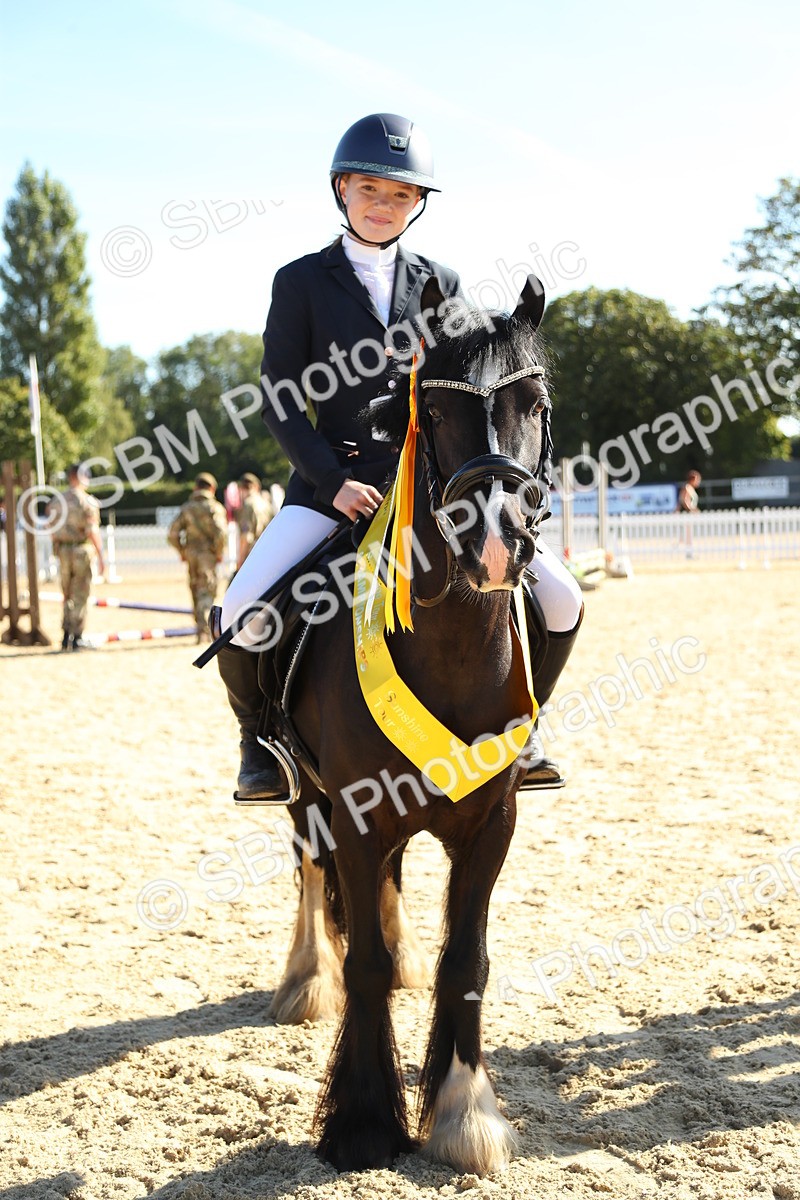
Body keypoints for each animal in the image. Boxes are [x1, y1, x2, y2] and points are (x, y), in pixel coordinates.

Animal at [266, 274, 552, 1175]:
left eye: (535, 403)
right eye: (437, 407)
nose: (495, 543)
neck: (452, 648)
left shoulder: (494, 821)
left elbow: (467, 959)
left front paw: (464, 1114)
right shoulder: (356, 814)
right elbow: (362, 961)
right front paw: (363, 1123)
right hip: (301, 790)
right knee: (310, 871)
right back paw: (304, 980)